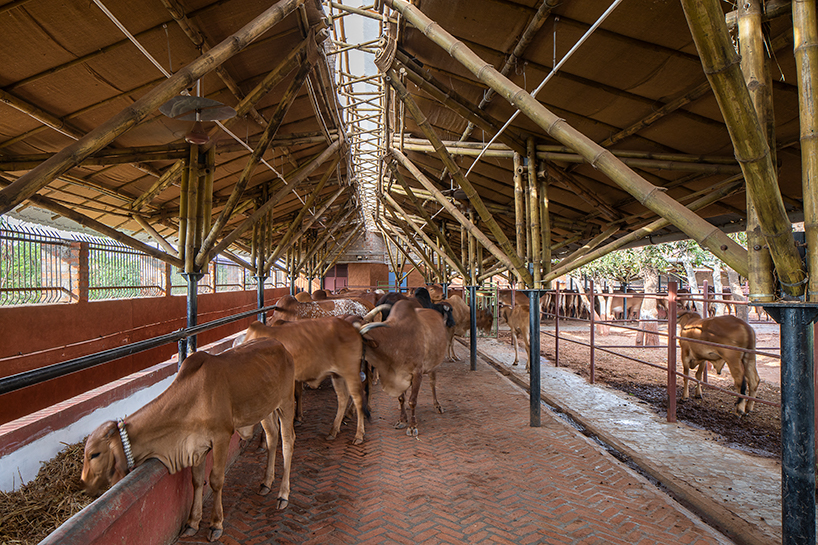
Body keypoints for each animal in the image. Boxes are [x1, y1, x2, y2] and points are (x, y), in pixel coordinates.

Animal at [79, 338, 294, 540]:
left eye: (94, 454)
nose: (84, 483)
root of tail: (281, 346)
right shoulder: (196, 445)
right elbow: (197, 481)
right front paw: (192, 522)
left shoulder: (221, 437)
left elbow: (216, 479)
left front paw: (215, 524)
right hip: (264, 409)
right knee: (272, 437)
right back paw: (266, 483)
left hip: (286, 403)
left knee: (287, 442)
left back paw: (283, 495)